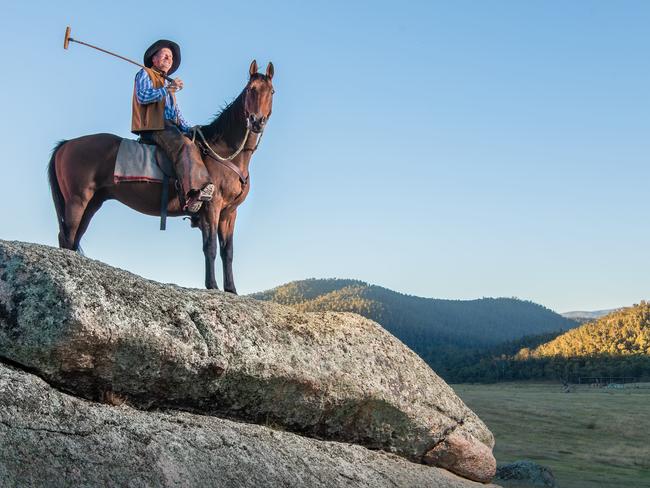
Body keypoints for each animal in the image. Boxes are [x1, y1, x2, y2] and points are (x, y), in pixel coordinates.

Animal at [46, 59, 274, 292]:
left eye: (271, 91)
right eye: (251, 89)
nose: (257, 121)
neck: (226, 153)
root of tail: (66, 144)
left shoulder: (229, 212)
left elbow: (227, 251)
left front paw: (231, 290)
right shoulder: (212, 206)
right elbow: (210, 247)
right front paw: (212, 286)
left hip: (92, 204)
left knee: (73, 238)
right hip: (77, 201)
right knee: (67, 236)